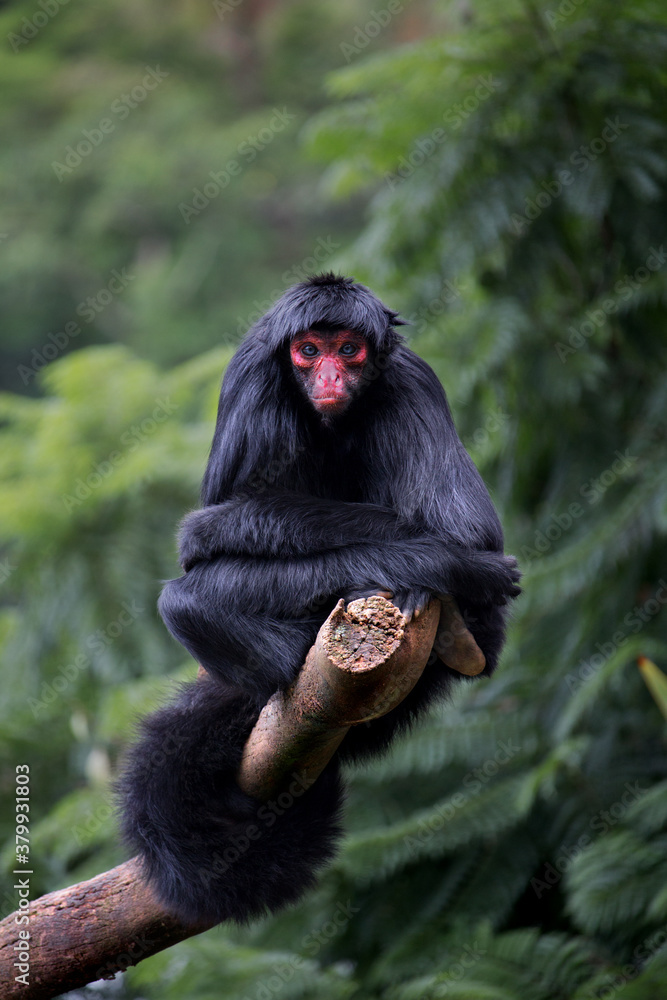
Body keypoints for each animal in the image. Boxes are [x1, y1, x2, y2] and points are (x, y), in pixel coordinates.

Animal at [120, 278, 520, 924]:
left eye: (348, 350)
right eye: (308, 351)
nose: (330, 374)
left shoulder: (409, 376)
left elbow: (471, 528)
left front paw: (442, 563)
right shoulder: (252, 377)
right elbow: (201, 548)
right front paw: (441, 563)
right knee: (186, 599)